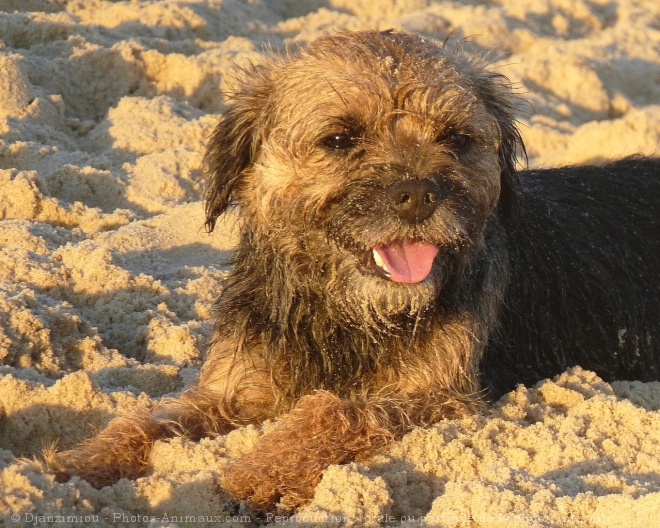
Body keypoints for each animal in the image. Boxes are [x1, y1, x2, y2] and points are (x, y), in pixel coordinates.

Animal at [47, 29, 660, 512]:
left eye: (457, 138)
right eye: (340, 139)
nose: (418, 195)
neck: (346, 313)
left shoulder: (443, 396)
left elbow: (334, 412)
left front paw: (256, 474)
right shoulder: (237, 389)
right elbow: (145, 420)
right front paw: (80, 460)